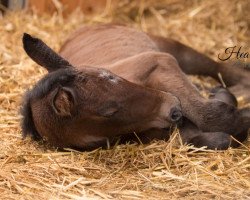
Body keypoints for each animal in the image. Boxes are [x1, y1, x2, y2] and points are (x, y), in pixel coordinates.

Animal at [21, 24, 250, 150]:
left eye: (110, 76)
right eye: (109, 113)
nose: (173, 110)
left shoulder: (162, 62)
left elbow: (207, 114)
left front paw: (240, 119)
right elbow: (208, 138)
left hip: (176, 50)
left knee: (221, 69)